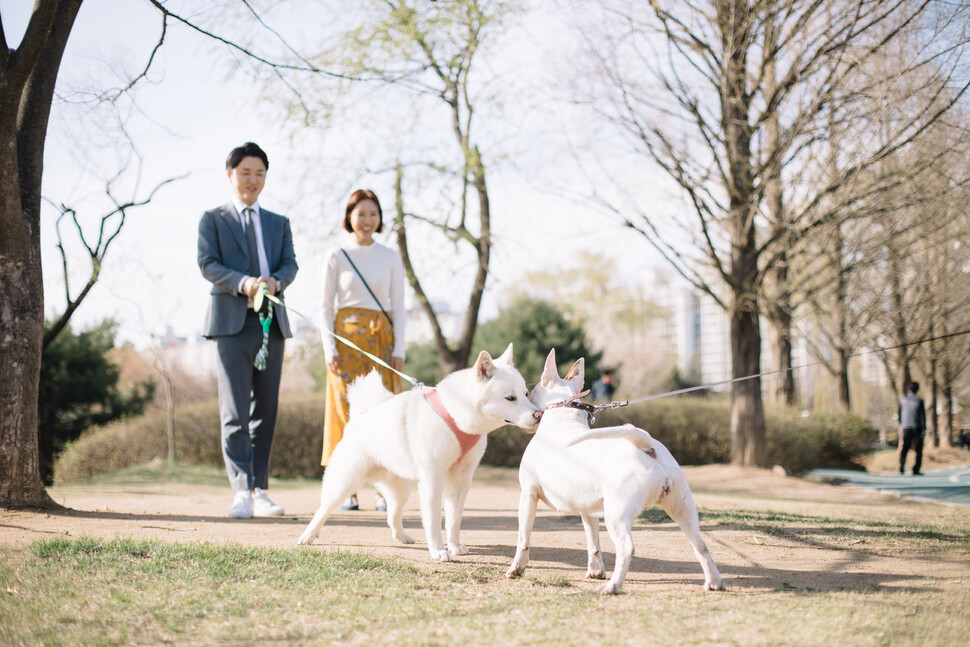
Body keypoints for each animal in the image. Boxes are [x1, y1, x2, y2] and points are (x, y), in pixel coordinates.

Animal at [296, 344, 536, 560]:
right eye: (510, 398)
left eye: (526, 394)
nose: (539, 414)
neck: (456, 414)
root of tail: (361, 416)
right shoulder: (433, 477)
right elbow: (433, 519)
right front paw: (438, 550)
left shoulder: (462, 478)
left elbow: (454, 518)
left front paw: (454, 546)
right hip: (345, 482)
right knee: (324, 508)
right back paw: (308, 535)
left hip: (401, 489)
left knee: (392, 514)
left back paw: (402, 537)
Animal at [502, 352, 724, 596]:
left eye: (530, 392)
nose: (533, 412)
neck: (563, 416)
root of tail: (647, 446)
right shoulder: (587, 508)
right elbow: (593, 542)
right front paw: (595, 571)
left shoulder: (528, 494)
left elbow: (523, 537)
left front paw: (516, 569)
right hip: (682, 509)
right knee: (700, 544)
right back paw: (714, 582)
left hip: (617, 513)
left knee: (627, 548)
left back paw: (613, 586)